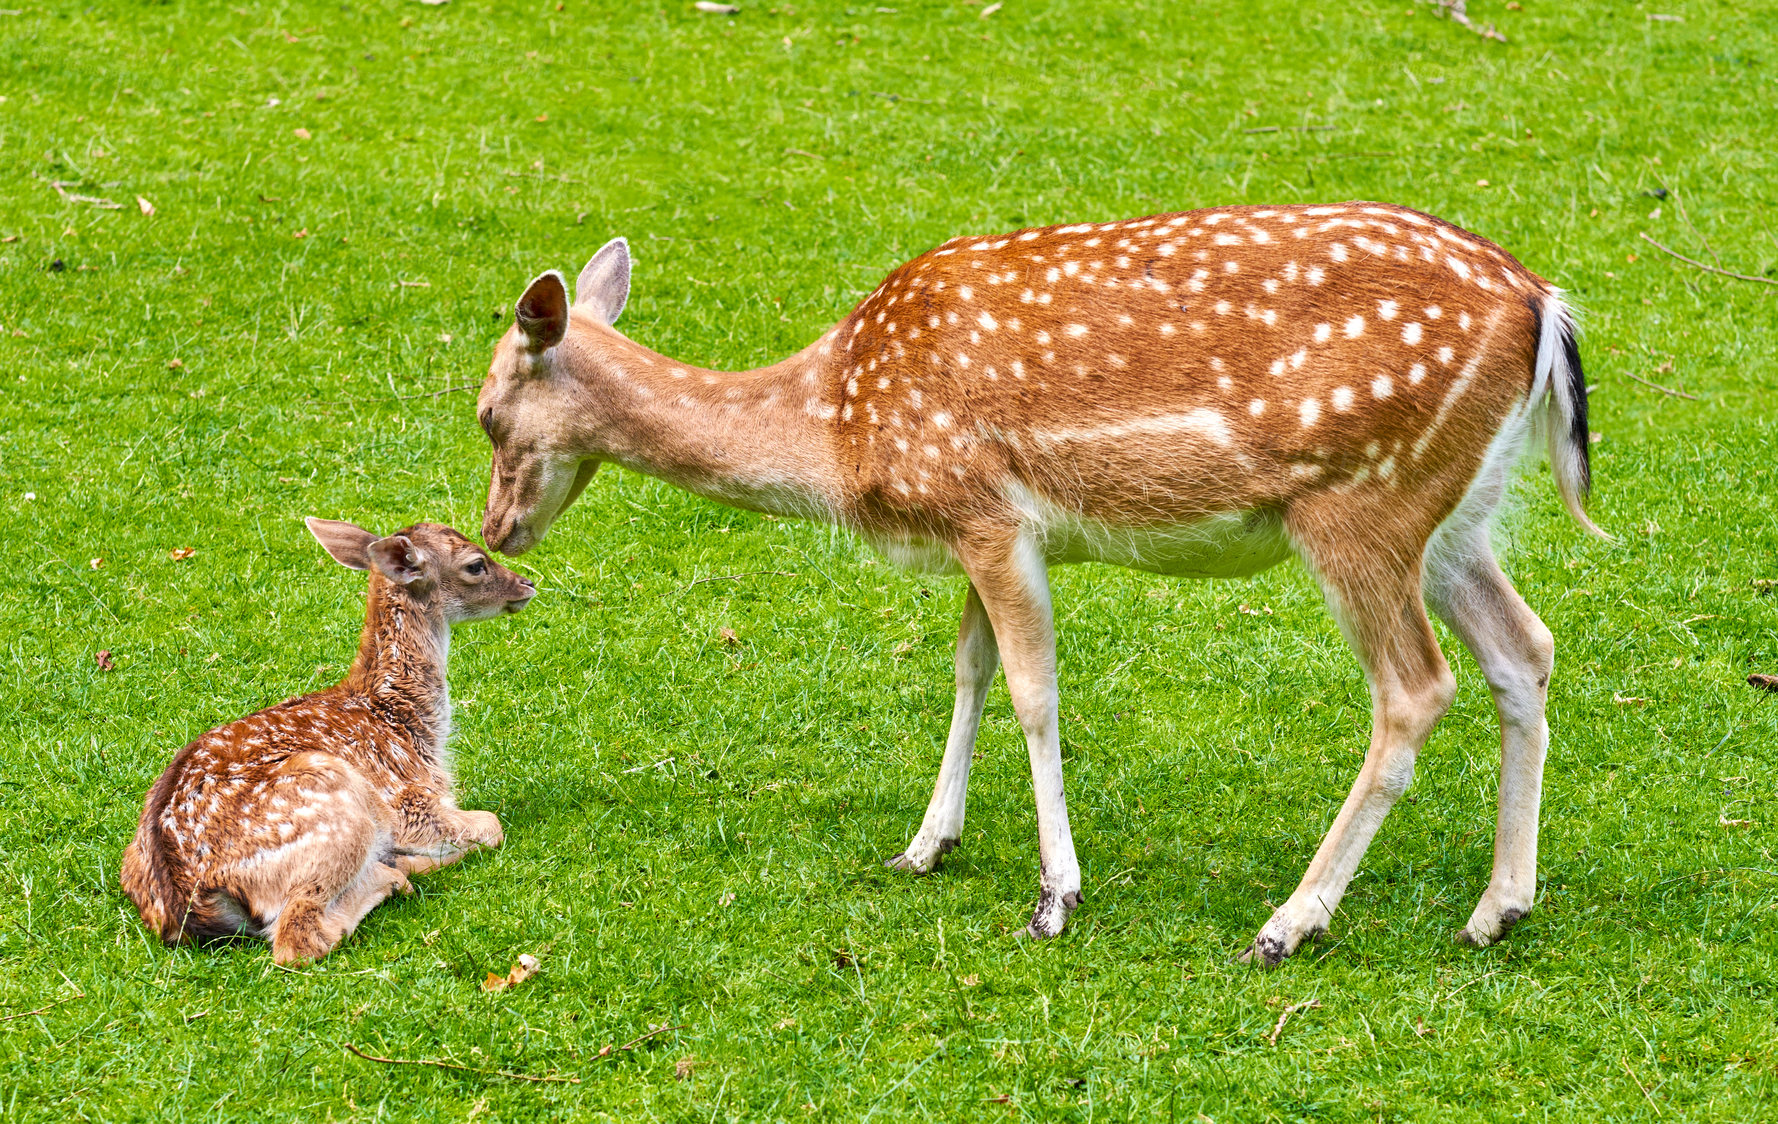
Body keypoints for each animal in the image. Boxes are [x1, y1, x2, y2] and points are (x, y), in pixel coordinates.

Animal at [124, 519, 529, 967]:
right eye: (476, 563)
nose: (527, 583)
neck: (408, 724)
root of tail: (186, 900)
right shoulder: (410, 803)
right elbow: (492, 825)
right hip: (335, 804)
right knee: (297, 940)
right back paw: (394, 872)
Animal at [472, 200, 1600, 960]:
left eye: (487, 415)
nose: (495, 530)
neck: (837, 425)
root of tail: (1544, 307)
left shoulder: (984, 510)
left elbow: (1031, 688)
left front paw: (1054, 896)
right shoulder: (983, 528)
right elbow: (967, 670)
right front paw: (924, 845)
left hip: (1359, 504)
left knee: (1415, 688)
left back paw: (1289, 921)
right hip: (1454, 516)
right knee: (1525, 646)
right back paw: (1498, 907)